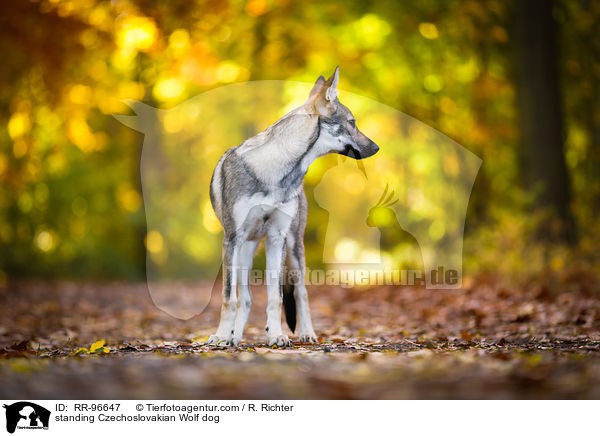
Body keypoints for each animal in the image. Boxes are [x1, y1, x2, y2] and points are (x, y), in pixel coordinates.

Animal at [204, 68, 378, 346]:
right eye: (352, 122)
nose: (376, 147)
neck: (277, 173)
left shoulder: (278, 237)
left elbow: (276, 297)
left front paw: (276, 335)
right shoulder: (232, 239)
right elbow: (228, 297)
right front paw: (221, 337)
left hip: (294, 249)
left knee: (300, 293)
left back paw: (307, 333)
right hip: (245, 251)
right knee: (245, 298)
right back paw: (235, 337)